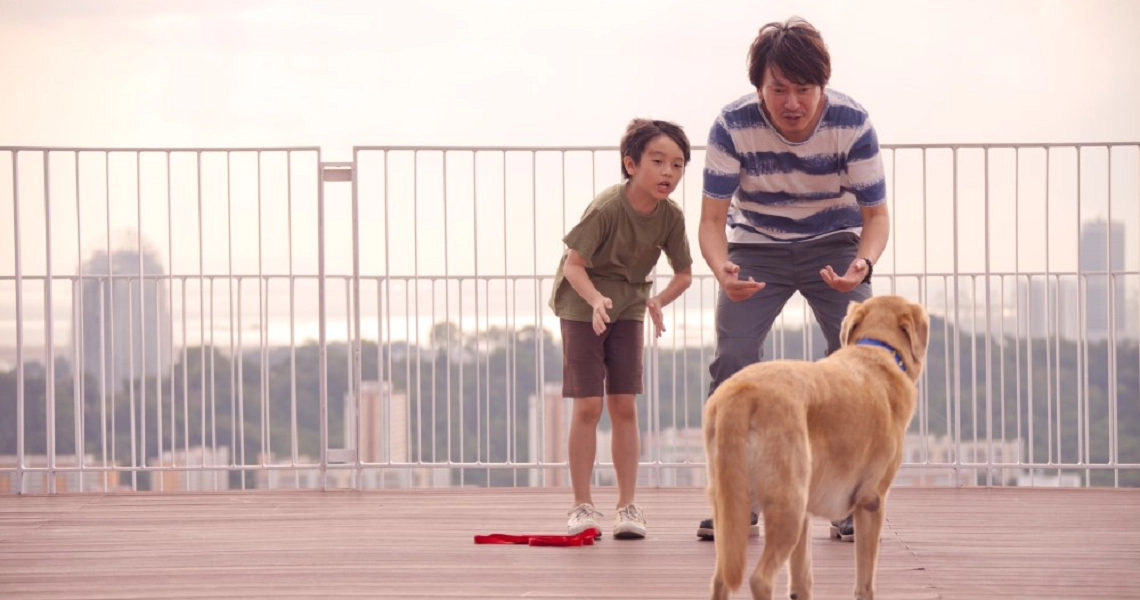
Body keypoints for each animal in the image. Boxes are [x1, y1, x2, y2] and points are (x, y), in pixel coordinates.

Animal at [702, 296, 925, 600]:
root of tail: (743, 392)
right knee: (760, 579)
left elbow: (802, 579)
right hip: (788, 505)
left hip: (731, 506)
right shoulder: (871, 500)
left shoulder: (807, 514)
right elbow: (865, 582)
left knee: (720, 577)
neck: (878, 350)